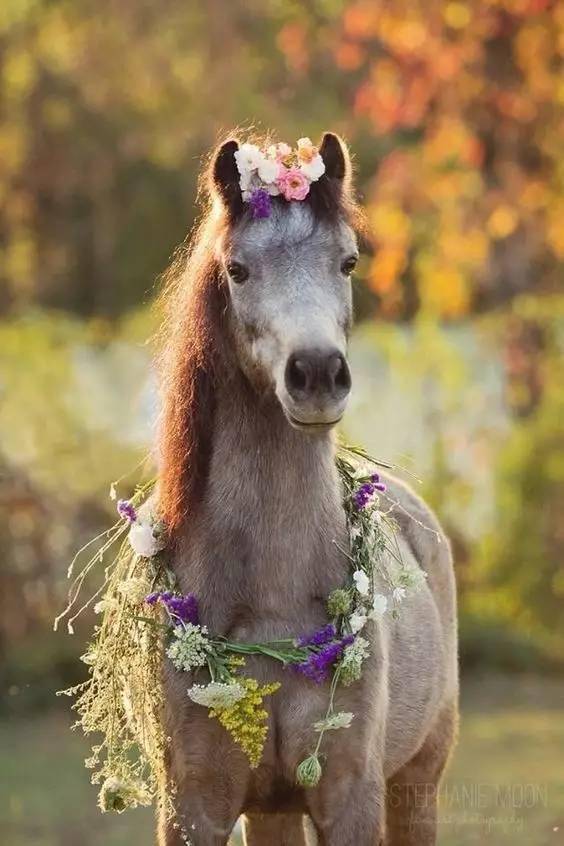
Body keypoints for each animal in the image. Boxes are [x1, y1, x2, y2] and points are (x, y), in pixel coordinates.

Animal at [154, 134, 458, 846]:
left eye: (348, 261)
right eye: (237, 270)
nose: (317, 373)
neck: (271, 598)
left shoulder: (349, 797)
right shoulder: (194, 807)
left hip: (417, 785)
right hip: (272, 810)